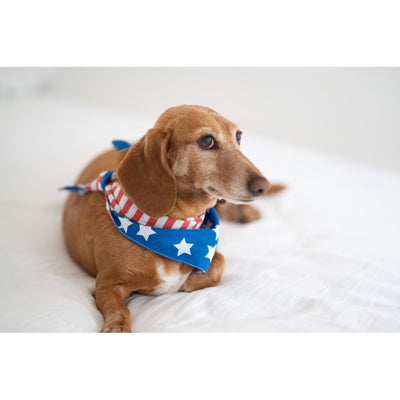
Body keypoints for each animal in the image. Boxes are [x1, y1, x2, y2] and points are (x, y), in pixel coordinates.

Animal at [63, 105, 278, 332]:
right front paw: (116, 327)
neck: (172, 228)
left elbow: (219, 261)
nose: (263, 186)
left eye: (238, 137)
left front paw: (188, 281)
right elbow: (119, 309)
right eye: (206, 141)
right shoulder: (107, 284)